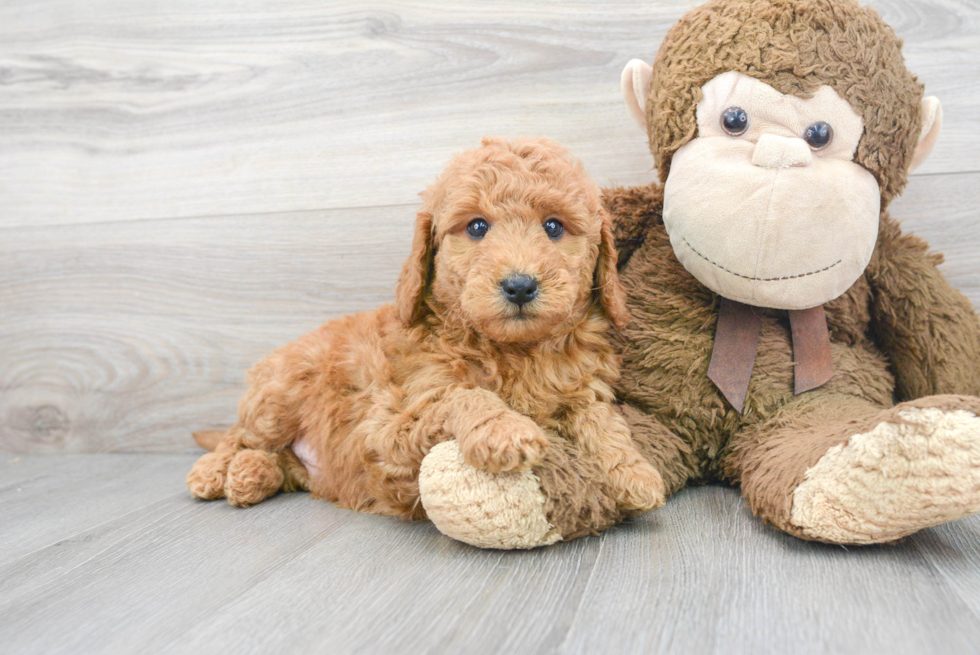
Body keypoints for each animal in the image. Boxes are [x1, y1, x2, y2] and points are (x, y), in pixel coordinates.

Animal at [188, 138, 664, 528]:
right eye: (477, 227)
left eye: (553, 226)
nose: (520, 286)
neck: (514, 352)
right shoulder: (389, 431)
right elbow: (463, 395)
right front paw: (504, 430)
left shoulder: (583, 386)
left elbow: (601, 419)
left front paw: (634, 472)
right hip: (280, 394)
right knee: (239, 435)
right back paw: (215, 471)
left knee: (276, 461)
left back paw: (251, 475)